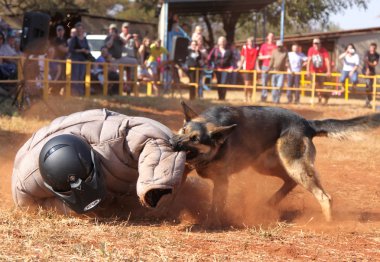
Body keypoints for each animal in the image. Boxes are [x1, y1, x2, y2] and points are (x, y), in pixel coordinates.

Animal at [171, 101, 380, 224]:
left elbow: (216, 207)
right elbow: (174, 192)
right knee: (290, 182)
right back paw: (270, 203)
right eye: (183, 130)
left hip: (294, 166)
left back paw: (328, 224)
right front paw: (169, 213)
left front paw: (211, 224)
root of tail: (307, 123)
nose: (172, 143)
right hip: (267, 165)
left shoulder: (222, 181)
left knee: (324, 196)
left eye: (195, 139)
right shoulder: (184, 171)